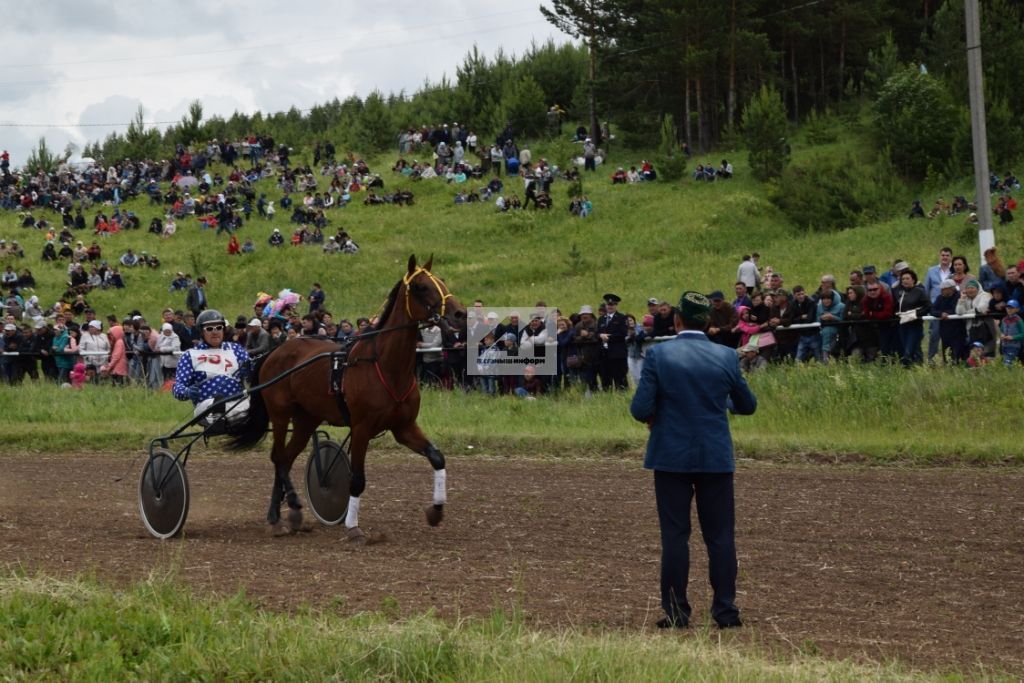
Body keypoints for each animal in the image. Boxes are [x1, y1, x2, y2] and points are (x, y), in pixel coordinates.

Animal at [226, 253, 466, 540]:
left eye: (441, 280)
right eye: (421, 287)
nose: (460, 313)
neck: (385, 366)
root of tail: (274, 352)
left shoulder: (404, 427)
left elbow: (437, 457)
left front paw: (436, 510)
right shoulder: (362, 427)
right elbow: (358, 479)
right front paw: (353, 527)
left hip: (307, 419)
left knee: (286, 457)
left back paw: (285, 514)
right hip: (281, 413)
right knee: (278, 457)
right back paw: (285, 510)